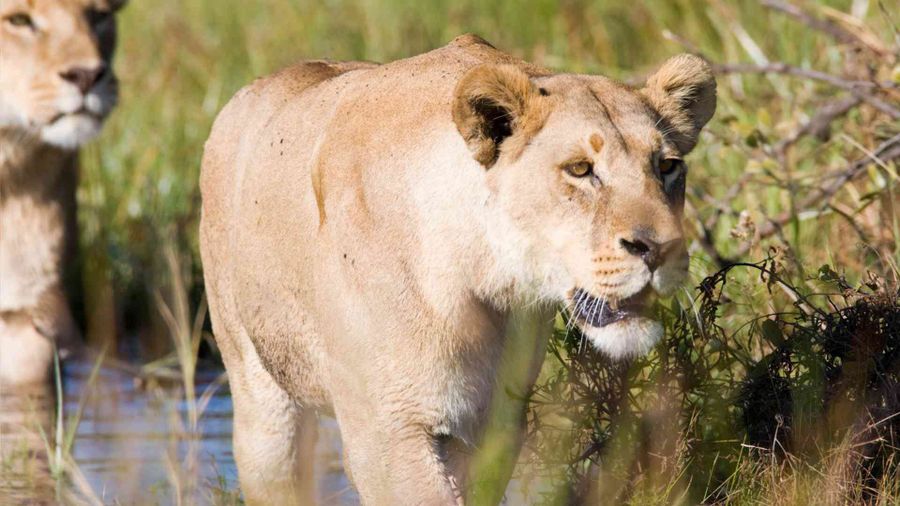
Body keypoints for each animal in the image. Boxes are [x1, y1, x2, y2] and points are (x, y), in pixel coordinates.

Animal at [200, 34, 715, 505]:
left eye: (667, 166)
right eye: (580, 169)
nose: (660, 248)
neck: (486, 284)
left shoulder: (493, 426)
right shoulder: (387, 434)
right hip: (260, 399)